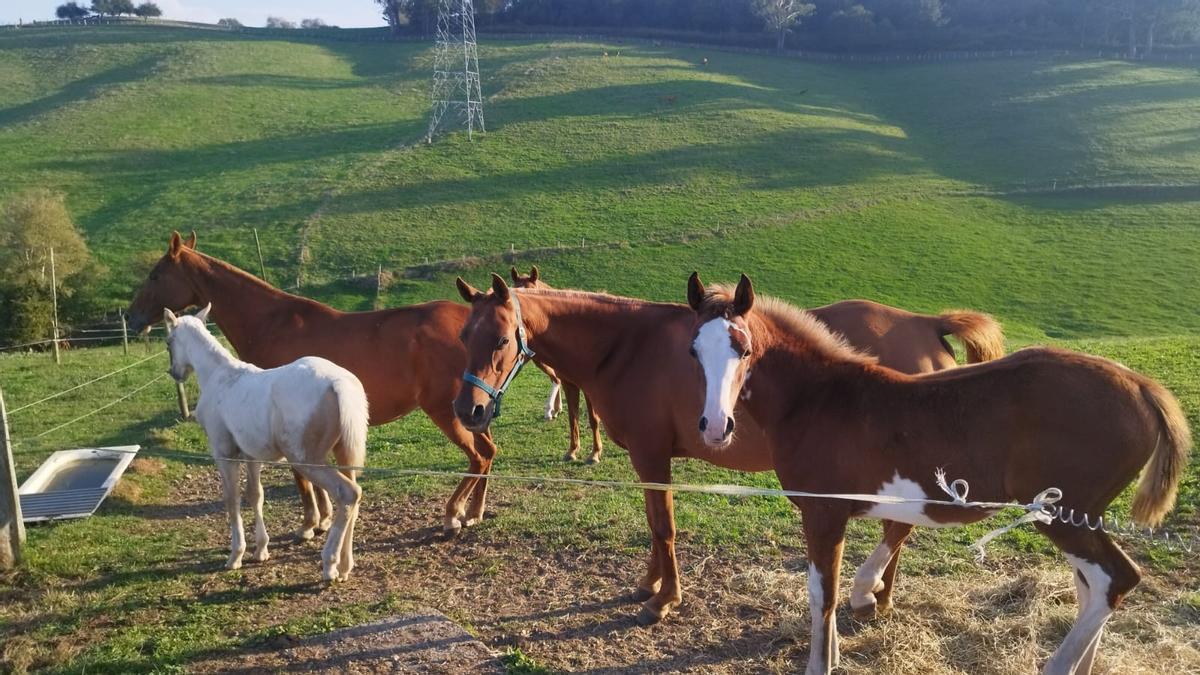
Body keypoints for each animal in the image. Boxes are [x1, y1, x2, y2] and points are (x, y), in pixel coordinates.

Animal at [128, 231, 498, 535]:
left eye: (155, 274)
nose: (132, 317)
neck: (271, 323)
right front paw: (322, 517)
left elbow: (301, 476)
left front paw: (309, 524)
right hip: (471, 412)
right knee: (489, 452)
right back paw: (474, 512)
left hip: (447, 411)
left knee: (479, 456)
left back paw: (452, 515)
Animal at [164, 306, 368, 582]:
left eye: (168, 341)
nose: (175, 373)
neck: (221, 377)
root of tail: (338, 383)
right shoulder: (251, 455)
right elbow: (255, 495)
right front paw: (261, 549)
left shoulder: (224, 453)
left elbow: (232, 499)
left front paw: (235, 556)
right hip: (344, 456)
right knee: (354, 501)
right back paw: (346, 566)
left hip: (307, 461)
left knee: (348, 493)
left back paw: (329, 564)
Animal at [684, 273, 1190, 675]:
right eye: (694, 350)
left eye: (744, 348)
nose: (715, 426)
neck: (820, 398)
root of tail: (1143, 388)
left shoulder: (823, 513)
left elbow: (820, 593)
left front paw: (821, 664)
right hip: (1076, 517)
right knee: (1092, 589)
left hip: (1065, 514)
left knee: (1115, 580)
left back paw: (1059, 665)